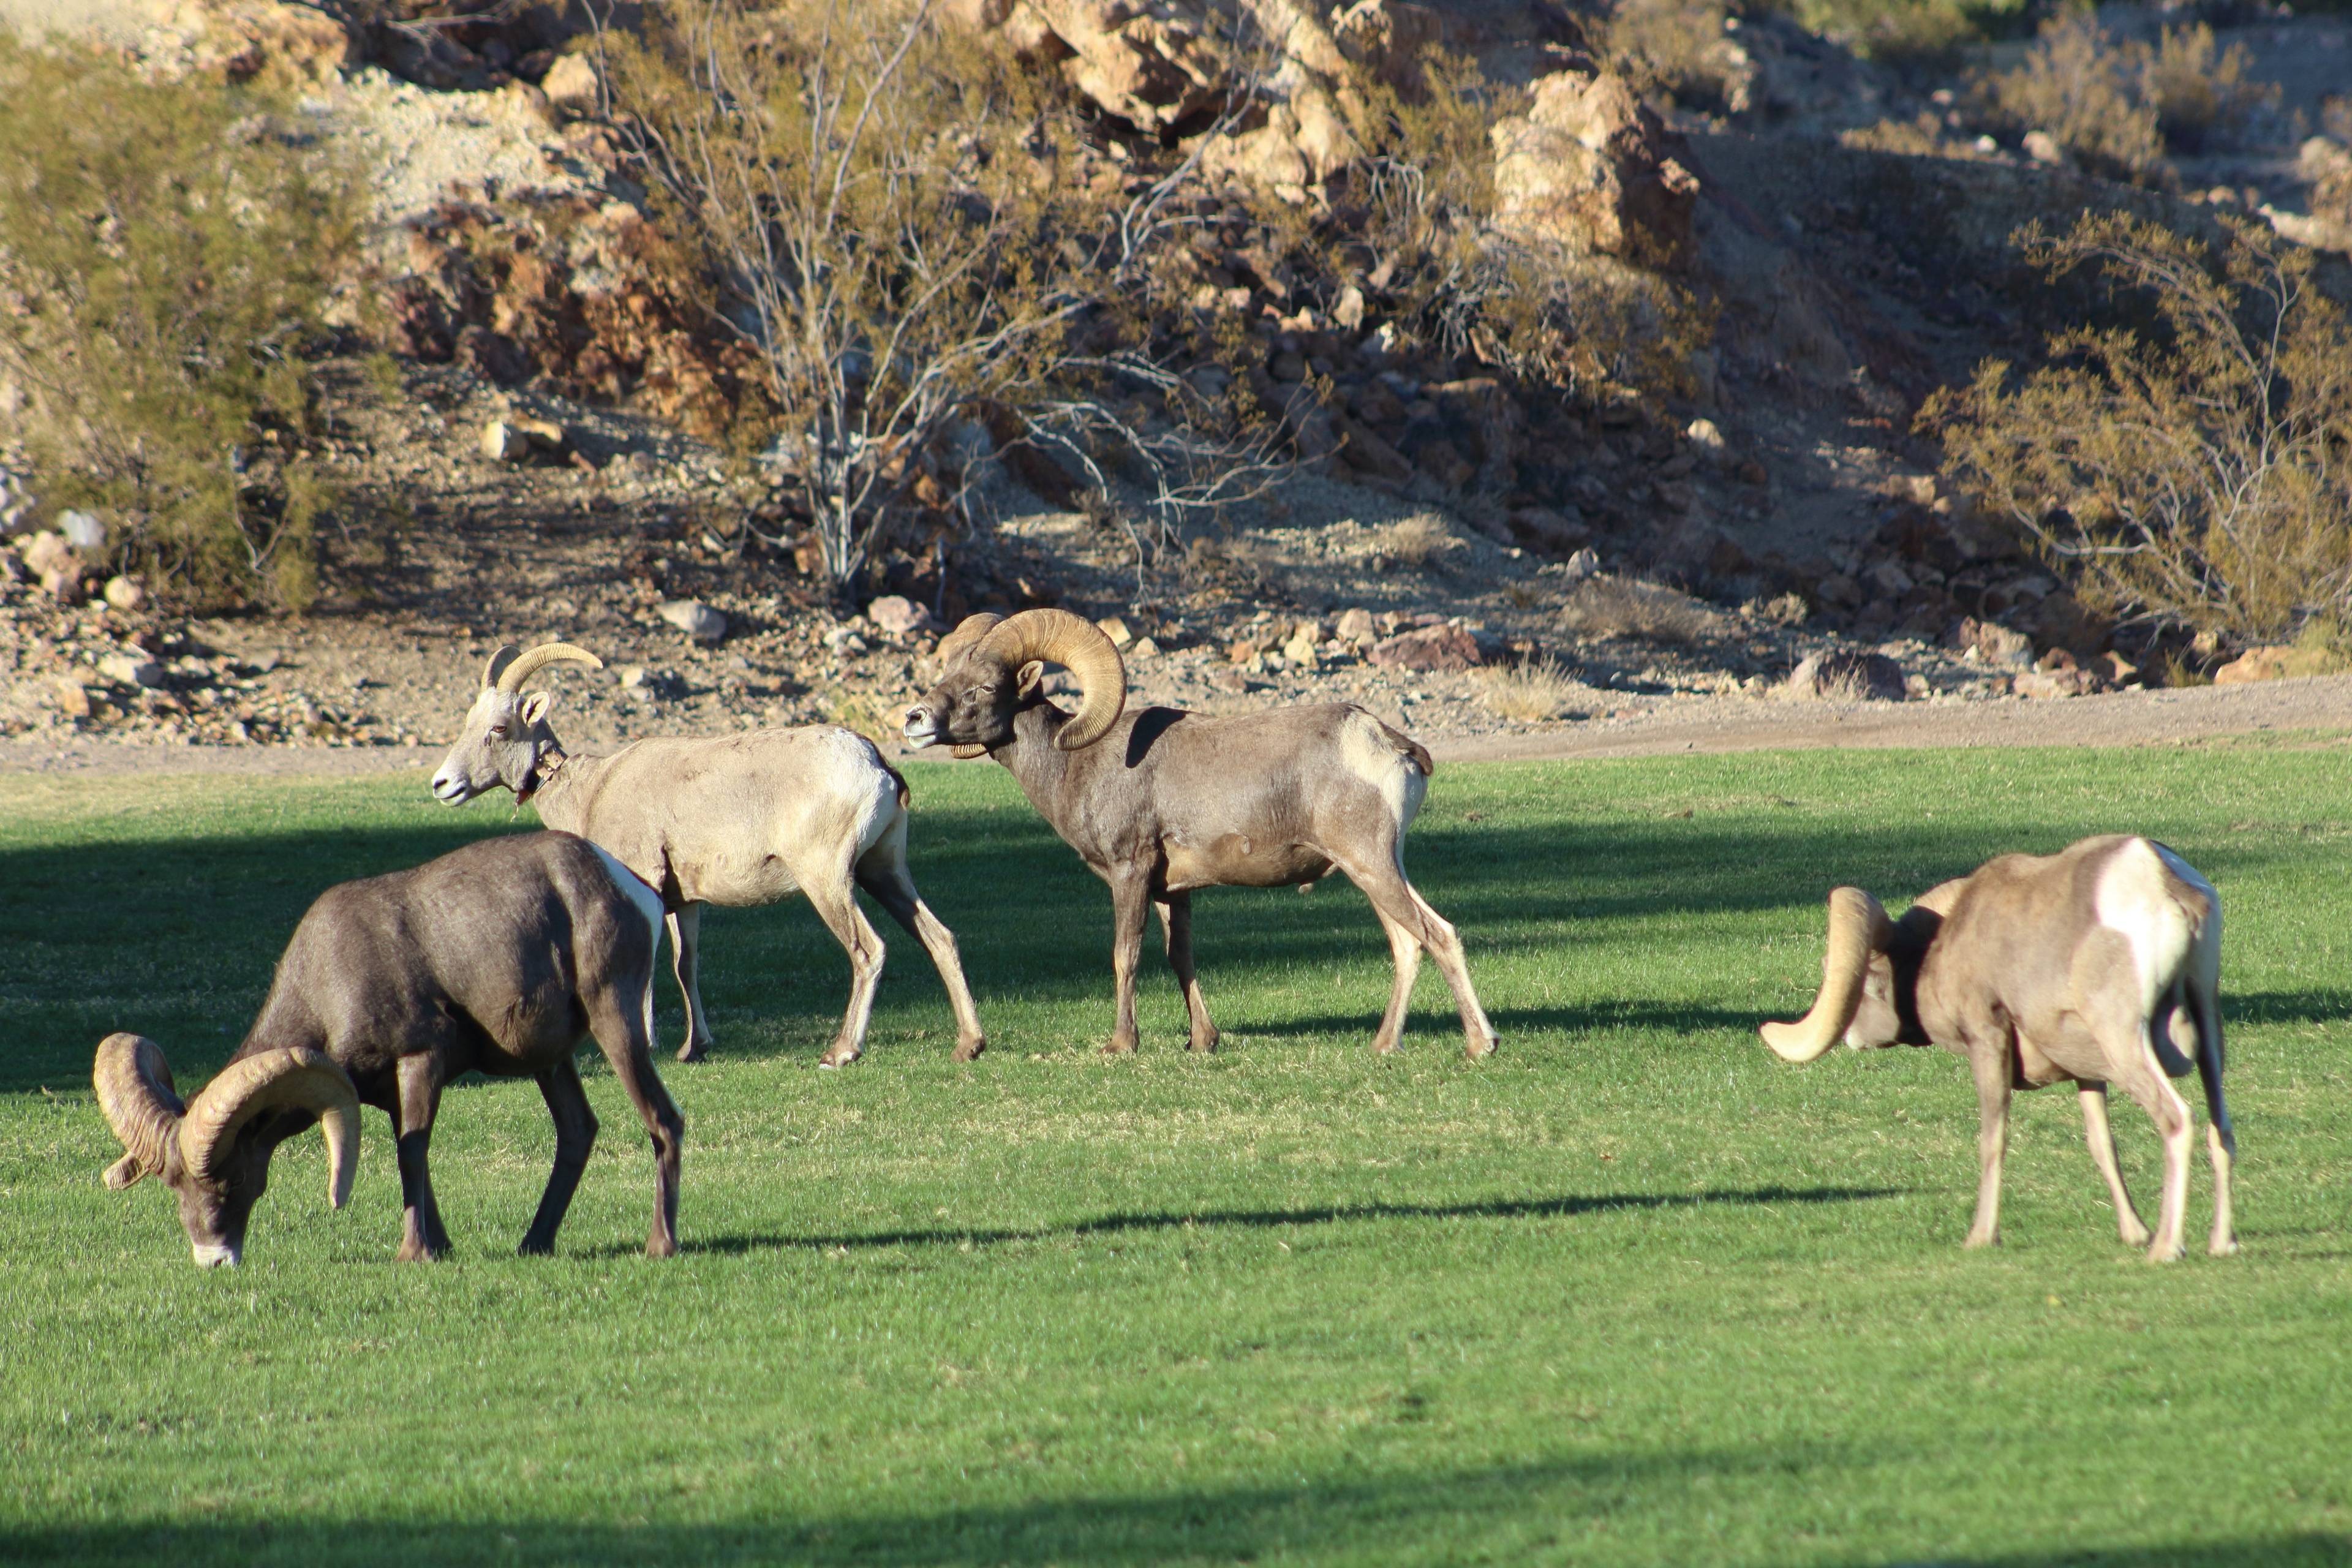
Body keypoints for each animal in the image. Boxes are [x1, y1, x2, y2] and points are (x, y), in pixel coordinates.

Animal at [94, 832, 682, 1260]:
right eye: (172, 1185)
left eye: (233, 1176)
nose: (214, 1259)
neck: (330, 985)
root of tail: (631, 888)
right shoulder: (392, 1092)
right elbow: (413, 1156)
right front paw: (439, 1248)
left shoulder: (421, 1061)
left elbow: (412, 1153)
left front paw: (413, 1254)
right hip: (551, 1061)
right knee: (578, 1131)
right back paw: (534, 1243)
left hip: (614, 1020)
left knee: (663, 1119)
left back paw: (660, 1245)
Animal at [432, 644, 983, 1072]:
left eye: (499, 729)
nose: (443, 785)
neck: (591, 792)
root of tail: (877, 764)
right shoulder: (685, 902)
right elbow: (685, 964)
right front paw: (693, 1048)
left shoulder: (646, 887)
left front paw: (649, 1044)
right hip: (883, 872)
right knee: (940, 937)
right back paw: (969, 1045)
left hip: (827, 879)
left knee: (867, 950)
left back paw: (841, 1053)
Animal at [898, 606, 1486, 1062]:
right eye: (946, 675)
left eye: (982, 688)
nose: (915, 719)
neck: (1075, 768)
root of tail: (1390, 744)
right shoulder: (1171, 892)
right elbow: (1180, 958)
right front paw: (1202, 1041)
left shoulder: (1130, 873)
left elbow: (1126, 954)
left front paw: (1121, 1045)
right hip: (1375, 870)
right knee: (1412, 942)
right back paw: (1385, 1046)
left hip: (1370, 864)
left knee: (1435, 936)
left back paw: (1481, 1045)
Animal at [1768, 832, 2239, 1260]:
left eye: (1868, 981)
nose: (1851, 1036)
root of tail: (2164, 885)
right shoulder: (2087, 1072)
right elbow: (2102, 1143)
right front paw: (2133, 1232)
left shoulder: (1987, 1037)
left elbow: (1993, 1139)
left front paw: (1981, 1237)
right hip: (2206, 1025)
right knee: (2221, 1129)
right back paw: (2221, 1243)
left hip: (2125, 1040)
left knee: (2176, 1121)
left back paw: (2166, 1248)